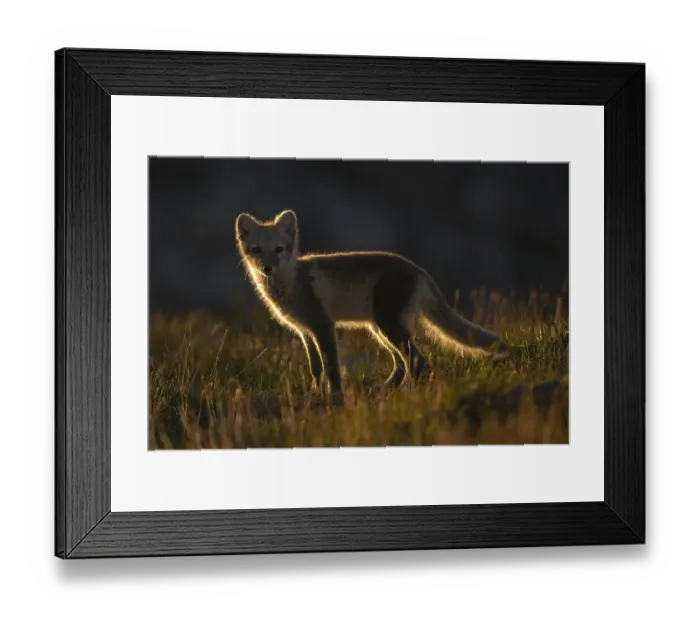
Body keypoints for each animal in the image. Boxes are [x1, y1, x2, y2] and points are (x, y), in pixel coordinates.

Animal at [235, 209, 510, 406]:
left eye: (279, 249)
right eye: (256, 250)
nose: (267, 268)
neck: (292, 282)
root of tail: (418, 270)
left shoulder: (323, 325)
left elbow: (332, 368)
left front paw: (336, 400)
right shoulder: (304, 331)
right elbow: (315, 369)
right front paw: (315, 394)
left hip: (388, 326)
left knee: (417, 362)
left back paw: (404, 394)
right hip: (379, 329)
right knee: (401, 364)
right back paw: (383, 392)